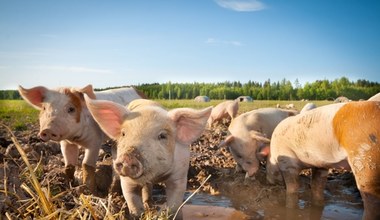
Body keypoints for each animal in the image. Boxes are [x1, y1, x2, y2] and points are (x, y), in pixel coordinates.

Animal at [16, 84, 145, 192]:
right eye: (44, 108)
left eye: (71, 109)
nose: (47, 130)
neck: (76, 139)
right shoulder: (66, 143)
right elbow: (69, 165)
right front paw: (68, 185)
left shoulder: (95, 141)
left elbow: (86, 165)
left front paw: (89, 191)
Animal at [84, 96, 212, 218]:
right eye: (123, 133)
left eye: (162, 136)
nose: (128, 157)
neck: (156, 175)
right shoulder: (127, 181)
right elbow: (132, 200)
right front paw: (138, 214)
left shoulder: (179, 175)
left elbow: (174, 203)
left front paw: (165, 214)